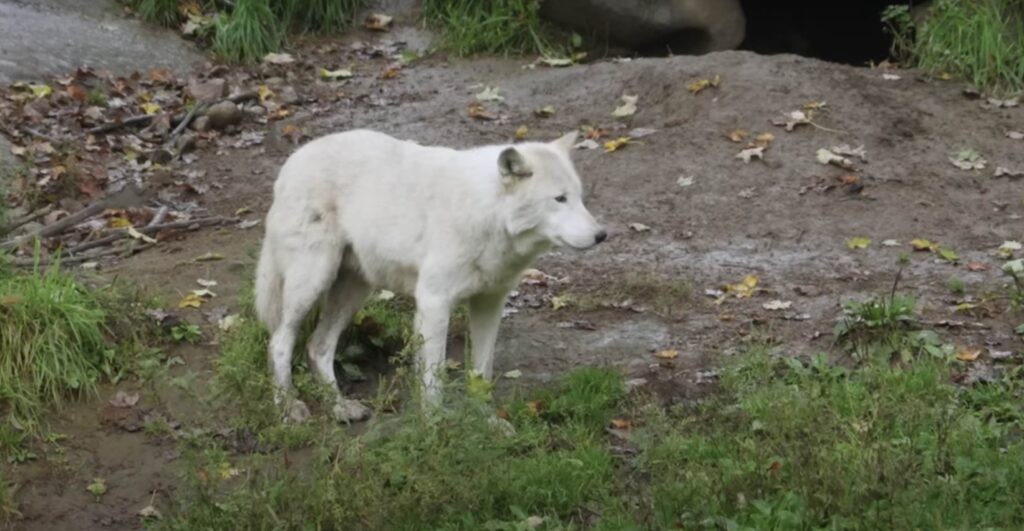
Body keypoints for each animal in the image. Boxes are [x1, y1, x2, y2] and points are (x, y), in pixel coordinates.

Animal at [254, 126, 602, 421]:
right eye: (559, 199)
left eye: (580, 197)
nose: (602, 235)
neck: (485, 213)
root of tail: (291, 163)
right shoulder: (434, 302)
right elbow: (434, 379)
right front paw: (436, 430)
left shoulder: (490, 303)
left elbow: (482, 372)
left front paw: (488, 423)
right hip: (312, 282)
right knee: (280, 343)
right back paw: (289, 409)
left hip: (353, 292)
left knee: (318, 347)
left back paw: (340, 407)